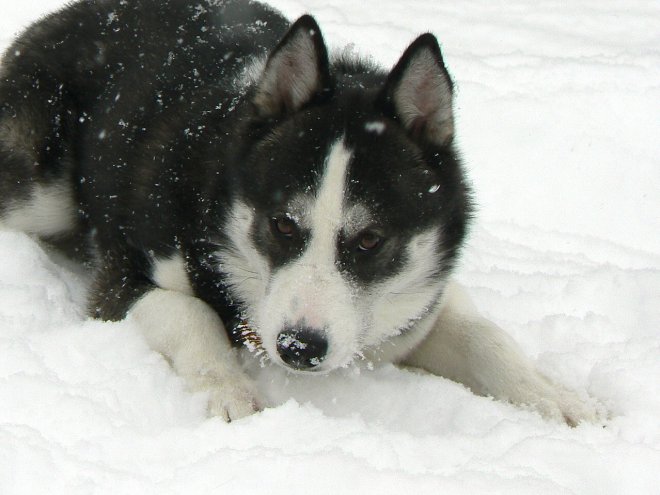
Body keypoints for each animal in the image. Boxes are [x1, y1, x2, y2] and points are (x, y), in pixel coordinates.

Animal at [0, 0, 600, 426]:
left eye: (370, 240)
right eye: (282, 224)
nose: (299, 348)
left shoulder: (416, 304)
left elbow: (484, 337)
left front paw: (554, 395)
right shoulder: (123, 275)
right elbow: (189, 314)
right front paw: (229, 388)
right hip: (41, 193)